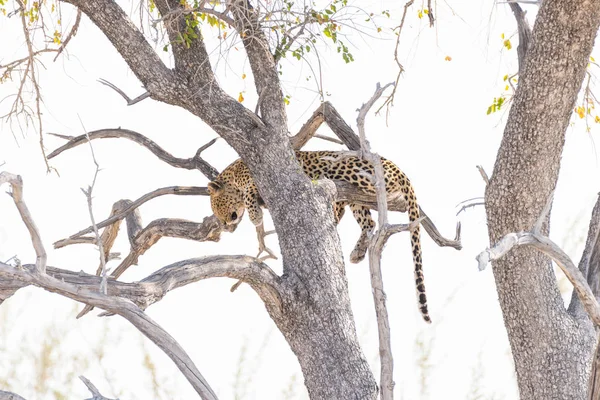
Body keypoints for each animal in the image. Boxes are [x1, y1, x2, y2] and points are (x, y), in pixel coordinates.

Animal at [207, 152, 432, 324]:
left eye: (217, 207)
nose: (226, 227)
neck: (234, 174)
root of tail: (397, 167)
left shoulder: (258, 180)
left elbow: (249, 192)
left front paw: (254, 215)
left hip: (348, 170)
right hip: (357, 201)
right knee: (368, 222)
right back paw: (357, 252)